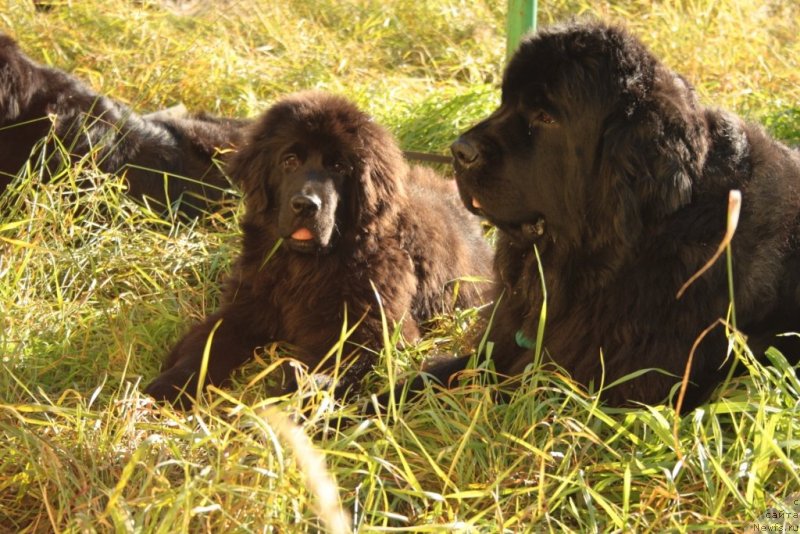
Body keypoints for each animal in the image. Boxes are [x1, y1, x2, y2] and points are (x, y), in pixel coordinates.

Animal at [145, 92, 494, 406]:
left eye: (339, 167)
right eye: (289, 161)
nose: (305, 204)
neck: (307, 266)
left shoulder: (365, 333)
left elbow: (316, 377)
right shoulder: (248, 304)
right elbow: (210, 343)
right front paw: (168, 386)